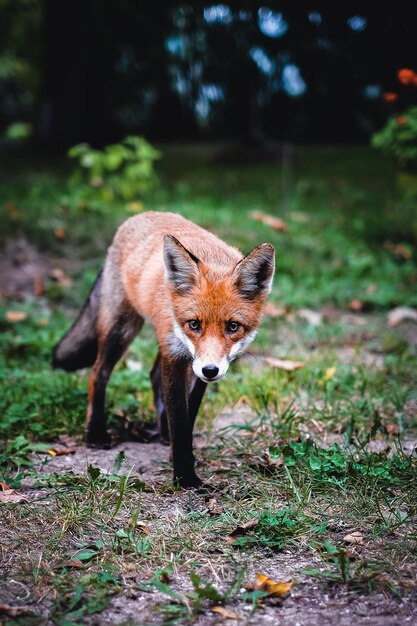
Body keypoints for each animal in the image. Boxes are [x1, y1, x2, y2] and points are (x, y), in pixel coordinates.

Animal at [52, 212, 272, 486]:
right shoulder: (175, 355)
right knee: (97, 372)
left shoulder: (194, 364)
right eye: (194, 324)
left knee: (153, 376)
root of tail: (138, 216)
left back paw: (162, 432)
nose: (211, 371)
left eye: (232, 326)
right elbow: (179, 419)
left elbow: (187, 418)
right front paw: (185, 477)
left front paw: (181, 458)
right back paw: (95, 433)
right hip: (122, 329)